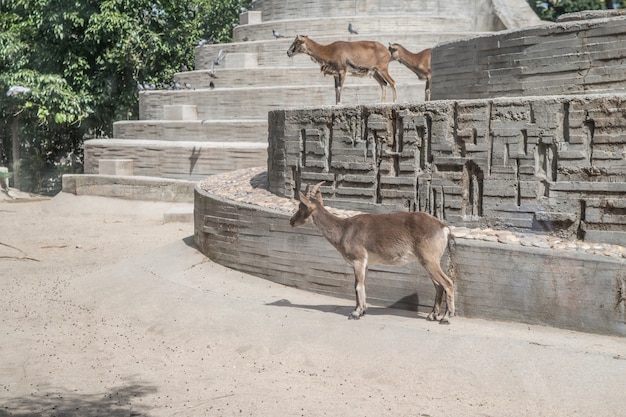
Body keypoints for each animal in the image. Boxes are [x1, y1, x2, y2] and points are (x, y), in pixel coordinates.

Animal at [288, 181, 454, 322]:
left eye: (301, 206)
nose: (291, 221)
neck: (344, 230)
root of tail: (443, 228)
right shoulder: (365, 264)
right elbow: (360, 285)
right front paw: (362, 310)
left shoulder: (359, 260)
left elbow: (358, 286)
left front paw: (355, 313)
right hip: (428, 261)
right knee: (438, 285)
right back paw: (432, 315)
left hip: (430, 260)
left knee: (447, 283)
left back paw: (446, 317)